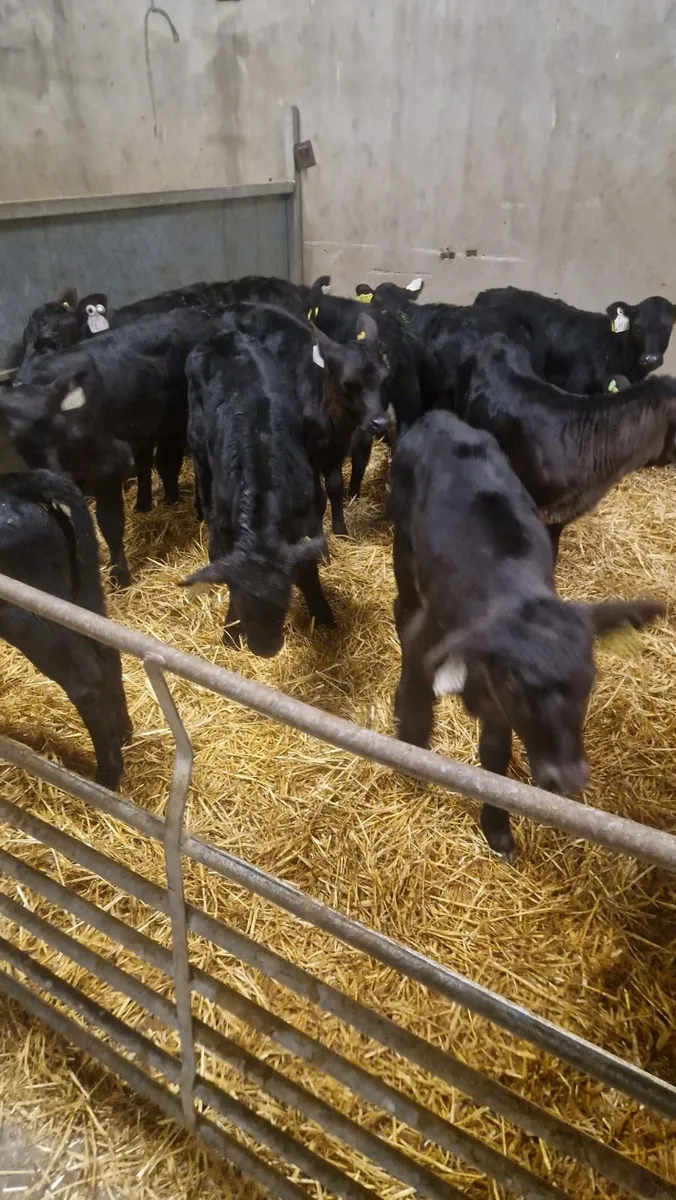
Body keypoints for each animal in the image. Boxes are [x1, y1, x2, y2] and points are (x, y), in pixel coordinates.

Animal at [0, 469, 131, 788]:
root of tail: (18, 482)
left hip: (28, 613)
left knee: (85, 682)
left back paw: (106, 777)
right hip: (84, 593)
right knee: (108, 655)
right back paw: (123, 735)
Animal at [181, 324, 333, 656]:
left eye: (284, 602)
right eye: (240, 603)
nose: (265, 649)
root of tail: (225, 334)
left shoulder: (306, 518)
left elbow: (309, 568)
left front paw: (323, 612)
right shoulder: (224, 527)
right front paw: (230, 630)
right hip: (196, 444)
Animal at [390, 410, 664, 860]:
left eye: (590, 682)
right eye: (519, 686)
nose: (567, 779)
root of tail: (439, 417)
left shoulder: (496, 700)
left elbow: (495, 758)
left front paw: (497, 828)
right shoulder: (428, 638)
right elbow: (415, 696)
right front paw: (410, 748)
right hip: (403, 544)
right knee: (402, 601)